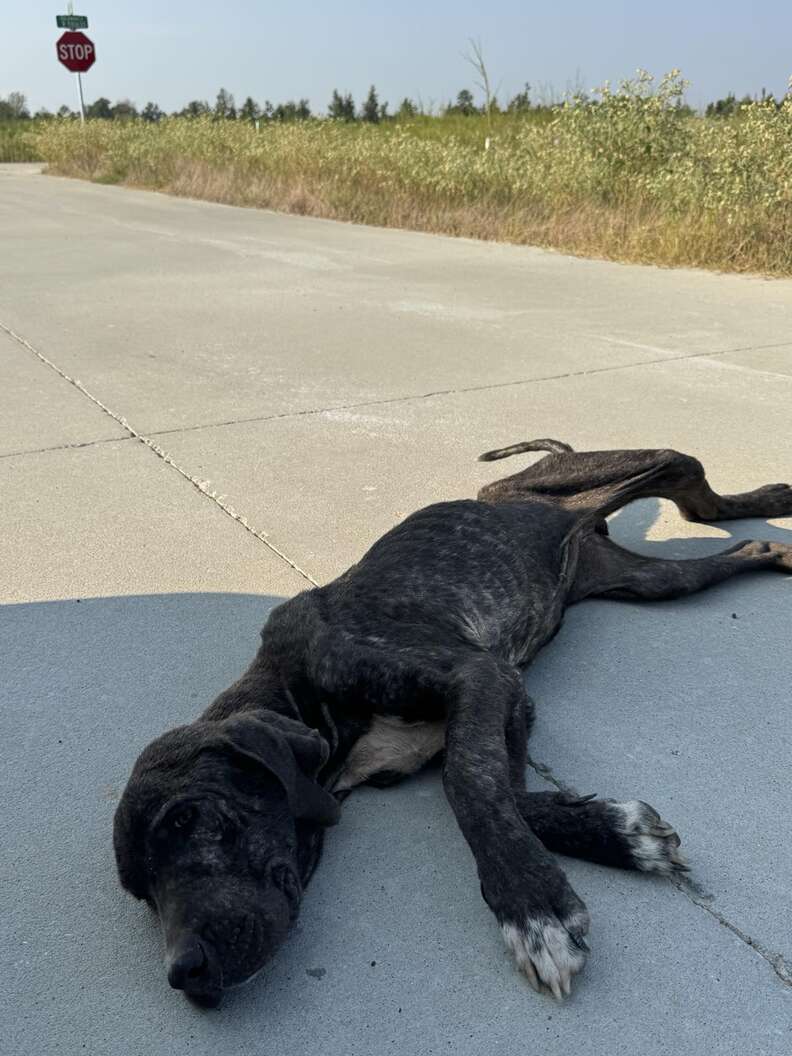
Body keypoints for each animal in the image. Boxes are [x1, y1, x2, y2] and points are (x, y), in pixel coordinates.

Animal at [113, 441, 792, 1007]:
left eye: (188, 819)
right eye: (141, 892)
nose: (184, 973)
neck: (292, 685)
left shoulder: (480, 677)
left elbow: (468, 784)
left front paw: (533, 907)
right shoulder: (505, 702)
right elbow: (507, 791)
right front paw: (616, 833)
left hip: (590, 489)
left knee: (684, 473)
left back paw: (769, 500)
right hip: (651, 579)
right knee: (725, 541)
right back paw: (774, 546)